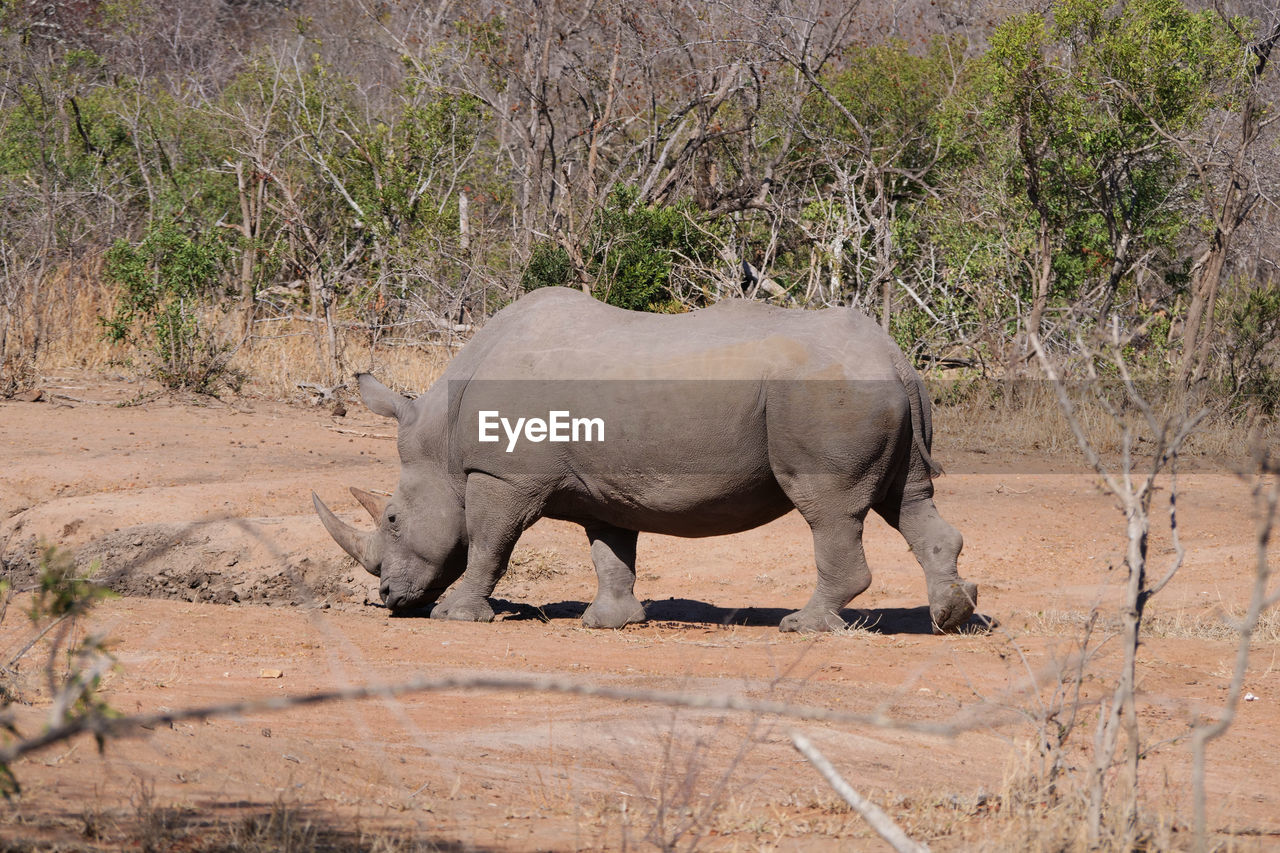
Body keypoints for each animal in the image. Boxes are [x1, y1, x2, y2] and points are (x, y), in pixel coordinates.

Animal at [314, 285, 972, 630]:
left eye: (392, 518)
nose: (388, 598)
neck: (442, 441)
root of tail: (894, 356)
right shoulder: (601, 484)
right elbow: (611, 550)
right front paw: (610, 621)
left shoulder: (503, 474)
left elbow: (488, 543)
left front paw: (456, 615)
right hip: (873, 392)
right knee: (909, 499)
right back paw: (953, 616)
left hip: (825, 395)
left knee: (830, 510)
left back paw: (802, 625)